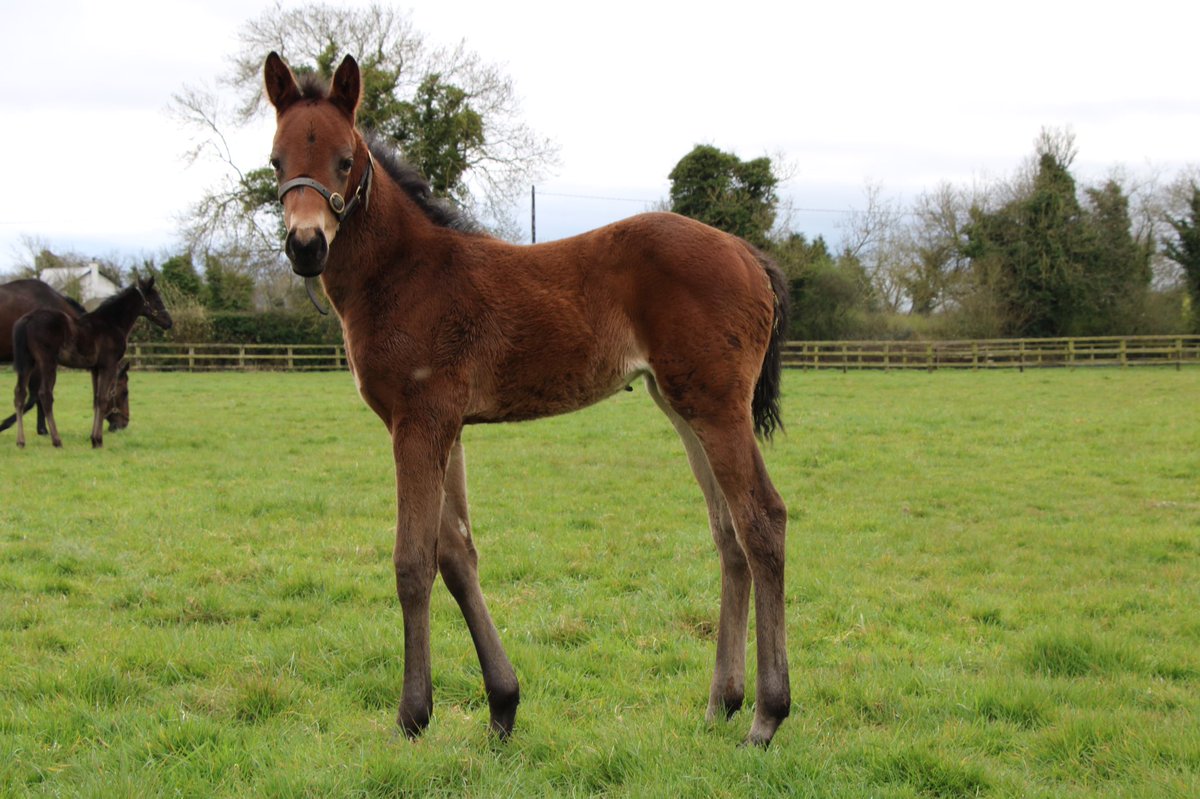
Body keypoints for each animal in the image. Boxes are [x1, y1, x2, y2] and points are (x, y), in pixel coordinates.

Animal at [265, 52, 792, 746]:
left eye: (345, 160)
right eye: (276, 161)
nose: (305, 246)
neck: (404, 274)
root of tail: (749, 254)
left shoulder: (418, 421)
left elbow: (412, 562)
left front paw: (412, 715)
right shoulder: (446, 426)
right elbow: (457, 554)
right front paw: (503, 705)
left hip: (718, 406)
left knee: (762, 521)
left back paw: (766, 715)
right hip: (682, 406)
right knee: (727, 532)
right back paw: (720, 703)